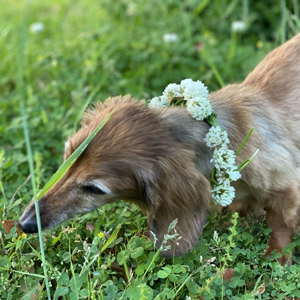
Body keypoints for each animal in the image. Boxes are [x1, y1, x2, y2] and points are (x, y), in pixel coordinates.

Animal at [18, 33, 300, 264]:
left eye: (94, 189)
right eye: (67, 160)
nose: (25, 223)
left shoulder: (286, 188)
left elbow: (279, 223)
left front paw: (277, 253)